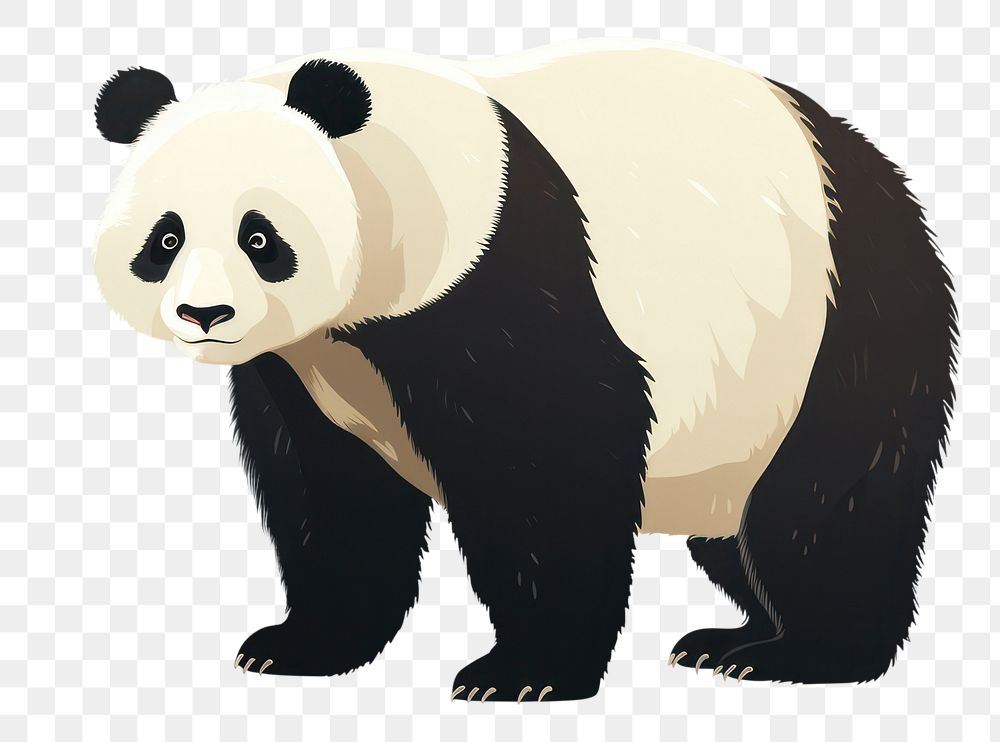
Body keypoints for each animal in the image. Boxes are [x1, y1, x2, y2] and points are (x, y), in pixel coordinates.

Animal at [93, 39, 956, 701]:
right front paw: (300, 644)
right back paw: (727, 637)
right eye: (165, 238)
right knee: (736, 531)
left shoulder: (500, 283)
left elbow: (550, 467)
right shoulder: (309, 367)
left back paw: (802, 654)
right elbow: (330, 490)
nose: (206, 315)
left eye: (259, 236)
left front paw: (522, 673)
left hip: (837, 327)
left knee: (821, 507)